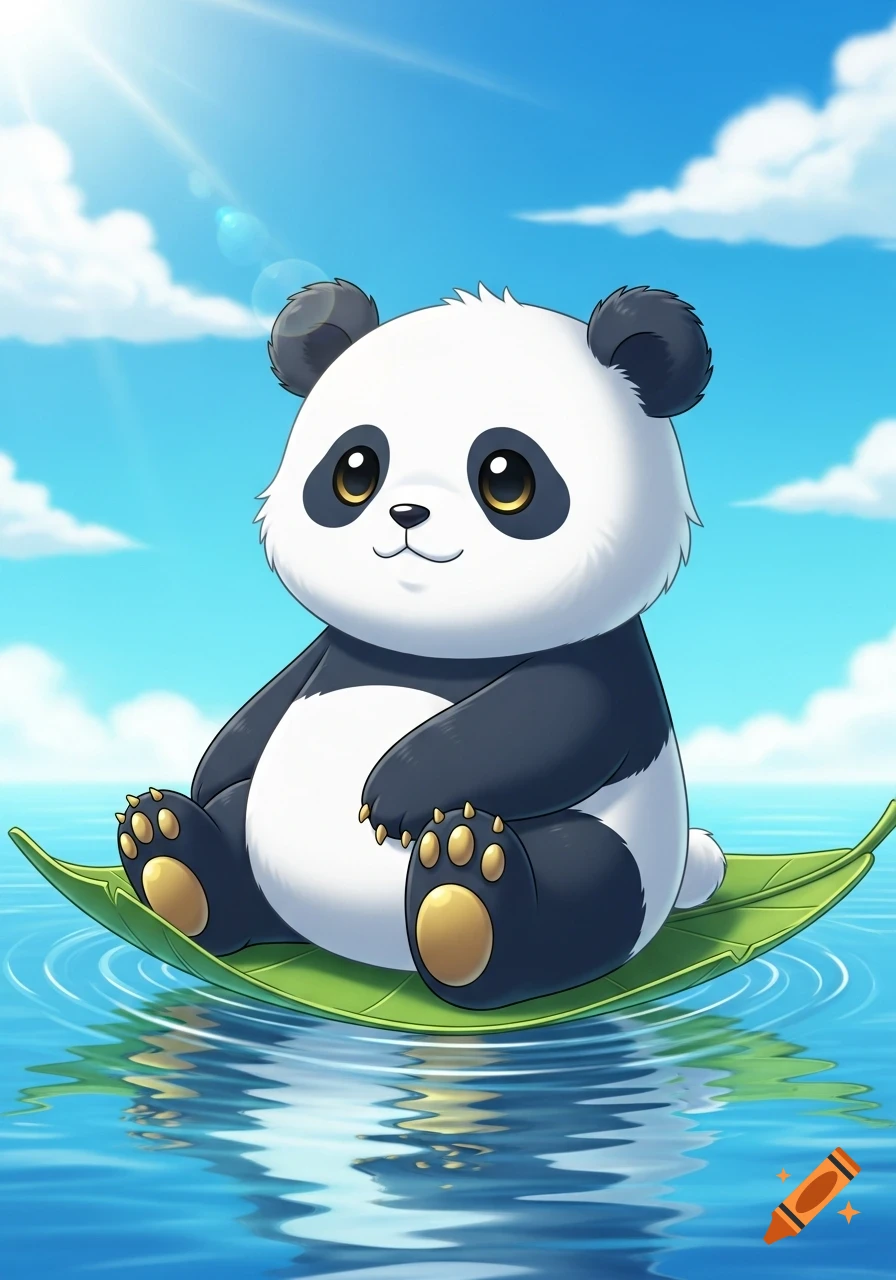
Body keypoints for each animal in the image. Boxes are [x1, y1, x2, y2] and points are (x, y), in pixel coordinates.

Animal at [115, 278, 726, 1011]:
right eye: (354, 468)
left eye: (506, 476)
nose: (407, 513)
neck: (434, 648)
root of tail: (364, 947)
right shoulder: (336, 647)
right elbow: (263, 710)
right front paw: (207, 774)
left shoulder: (601, 656)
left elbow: (559, 721)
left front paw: (394, 794)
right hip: (264, 833)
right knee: (234, 830)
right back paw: (170, 854)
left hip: (616, 857)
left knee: (584, 880)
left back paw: (464, 893)